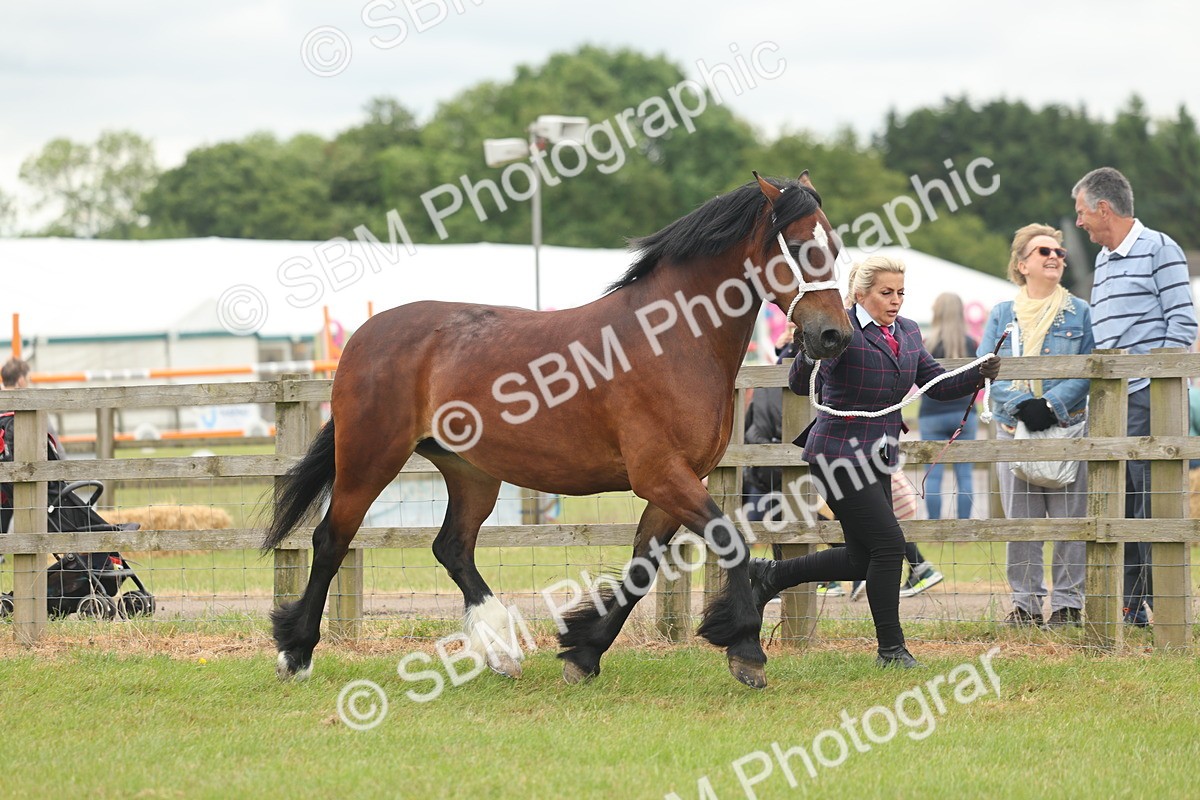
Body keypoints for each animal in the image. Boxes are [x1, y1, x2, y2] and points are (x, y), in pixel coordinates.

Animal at [262, 171, 853, 689]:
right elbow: (730, 541)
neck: (672, 340)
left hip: (470, 471)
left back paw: (501, 649)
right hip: (370, 458)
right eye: (800, 246)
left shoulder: (672, 486)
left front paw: (584, 652)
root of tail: (364, 336)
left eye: (836, 247)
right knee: (331, 539)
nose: (834, 336)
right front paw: (747, 650)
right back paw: (296, 654)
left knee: (452, 547)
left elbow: (641, 570)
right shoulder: (662, 476)